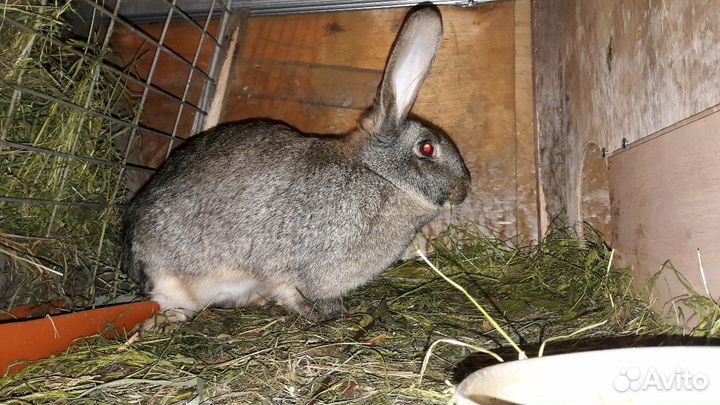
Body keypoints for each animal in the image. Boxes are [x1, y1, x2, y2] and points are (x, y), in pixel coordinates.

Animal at [123, 6, 471, 324]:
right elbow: (296, 291)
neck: (380, 175)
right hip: (176, 277)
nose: (465, 189)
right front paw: (333, 314)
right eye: (427, 148)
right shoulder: (303, 265)